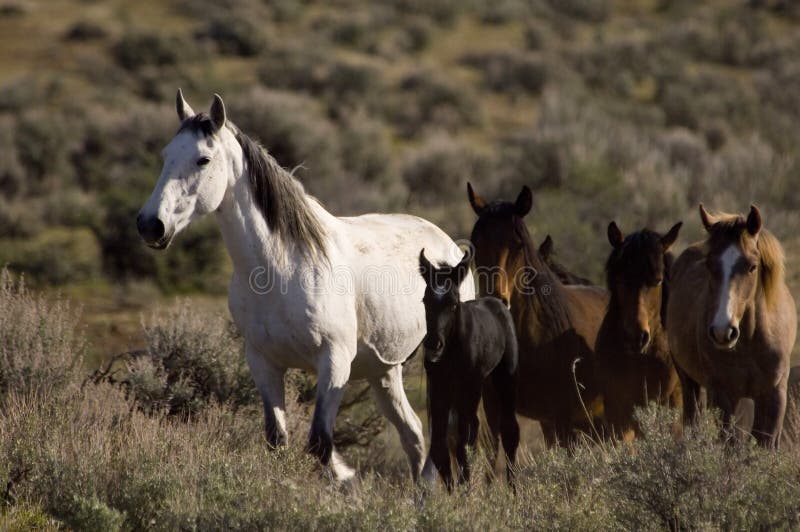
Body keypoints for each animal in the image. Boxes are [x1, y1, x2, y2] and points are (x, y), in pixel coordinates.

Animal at [138, 89, 476, 480]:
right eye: (166, 155)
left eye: (203, 159)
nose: (150, 224)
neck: (280, 270)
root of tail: (450, 247)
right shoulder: (264, 363)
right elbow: (278, 441)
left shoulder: (334, 363)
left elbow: (320, 446)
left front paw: (345, 480)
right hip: (384, 371)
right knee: (415, 435)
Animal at [418, 248, 520, 490]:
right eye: (425, 301)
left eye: (453, 303)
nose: (433, 344)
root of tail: (498, 303)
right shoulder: (439, 388)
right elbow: (440, 445)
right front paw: (453, 491)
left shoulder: (468, 387)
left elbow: (462, 441)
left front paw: (465, 489)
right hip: (483, 388)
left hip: (501, 380)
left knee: (508, 430)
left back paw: (513, 489)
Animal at [664, 206, 796, 446]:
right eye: (709, 264)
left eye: (752, 266)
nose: (722, 332)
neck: (752, 341)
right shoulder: (723, 395)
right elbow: (730, 443)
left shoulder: (775, 395)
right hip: (688, 381)